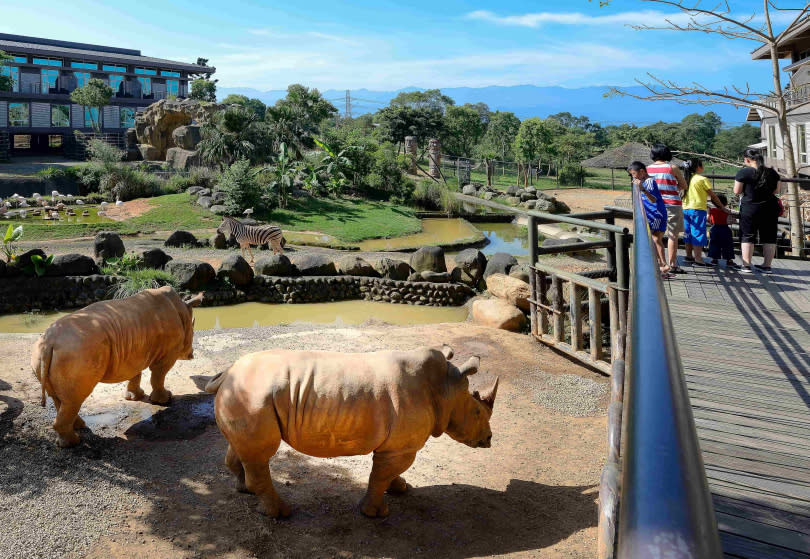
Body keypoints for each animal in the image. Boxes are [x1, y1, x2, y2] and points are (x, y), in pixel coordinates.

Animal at [31, 286, 202, 448]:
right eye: (193, 330)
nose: (191, 355)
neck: (182, 310)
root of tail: (50, 342)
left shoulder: (136, 350)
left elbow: (136, 373)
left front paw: (135, 397)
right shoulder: (167, 354)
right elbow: (158, 376)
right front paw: (164, 400)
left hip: (42, 352)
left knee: (61, 399)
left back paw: (77, 429)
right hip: (76, 352)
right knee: (73, 400)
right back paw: (74, 442)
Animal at [205, 346, 496, 520]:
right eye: (477, 413)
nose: (489, 440)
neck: (445, 388)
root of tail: (227, 373)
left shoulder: (396, 444)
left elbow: (390, 473)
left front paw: (401, 488)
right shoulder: (400, 447)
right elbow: (380, 476)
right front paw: (377, 513)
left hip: (243, 396)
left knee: (243, 451)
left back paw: (245, 491)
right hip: (253, 397)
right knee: (259, 456)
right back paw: (281, 513)